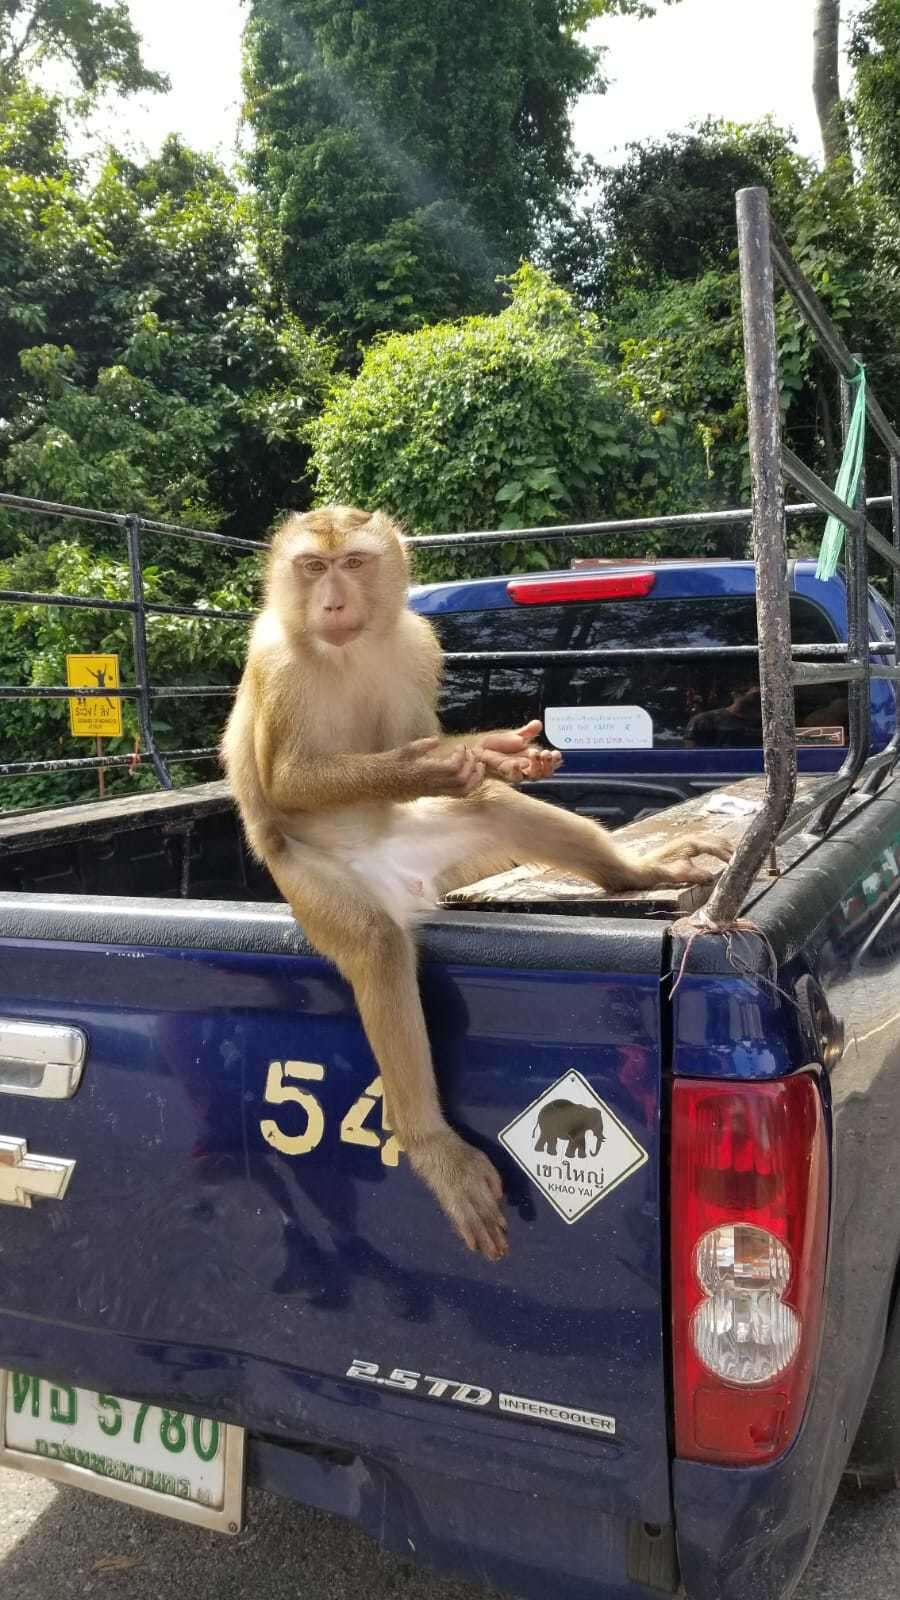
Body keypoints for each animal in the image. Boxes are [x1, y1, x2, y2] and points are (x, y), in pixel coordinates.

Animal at [222, 508, 730, 1260]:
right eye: (313, 568)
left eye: (354, 564)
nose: (332, 603)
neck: (344, 650)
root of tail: (403, 884)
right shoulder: (277, 664)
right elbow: (286, 782)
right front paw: (427, 765)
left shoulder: (414, 646)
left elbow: (435, 742)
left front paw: (495, 753)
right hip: (312, 881)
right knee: (375, 942)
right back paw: (433, 1145)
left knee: (493, 810)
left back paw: (638, 872)